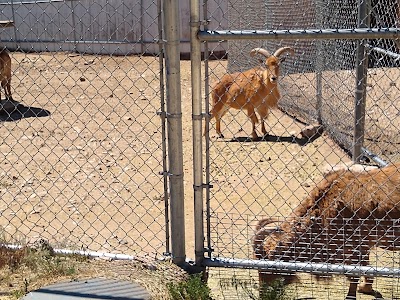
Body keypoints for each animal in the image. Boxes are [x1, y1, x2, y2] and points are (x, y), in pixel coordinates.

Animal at [255, 164, 400, 300]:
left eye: (268, 266)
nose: (263, 293)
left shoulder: (355, 248)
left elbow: (355, 274)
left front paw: (353, 295)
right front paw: (366, 288)